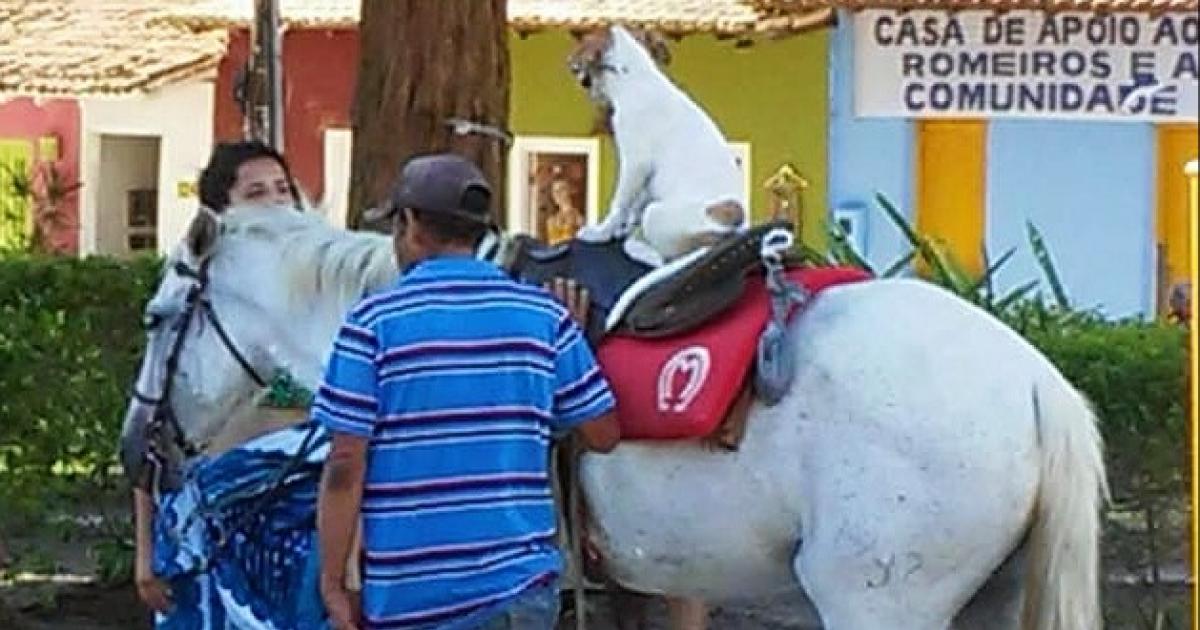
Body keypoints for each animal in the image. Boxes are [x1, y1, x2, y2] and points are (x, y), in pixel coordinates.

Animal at [566, 23, 744, 264]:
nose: (569, 64)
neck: (636, 78)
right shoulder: (646, 176)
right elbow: (635, 204)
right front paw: (624, 227)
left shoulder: (635, 164)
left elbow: (620, 204)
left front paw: (601, 232)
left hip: (656, 214)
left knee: (673, 255)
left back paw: (643, 250)